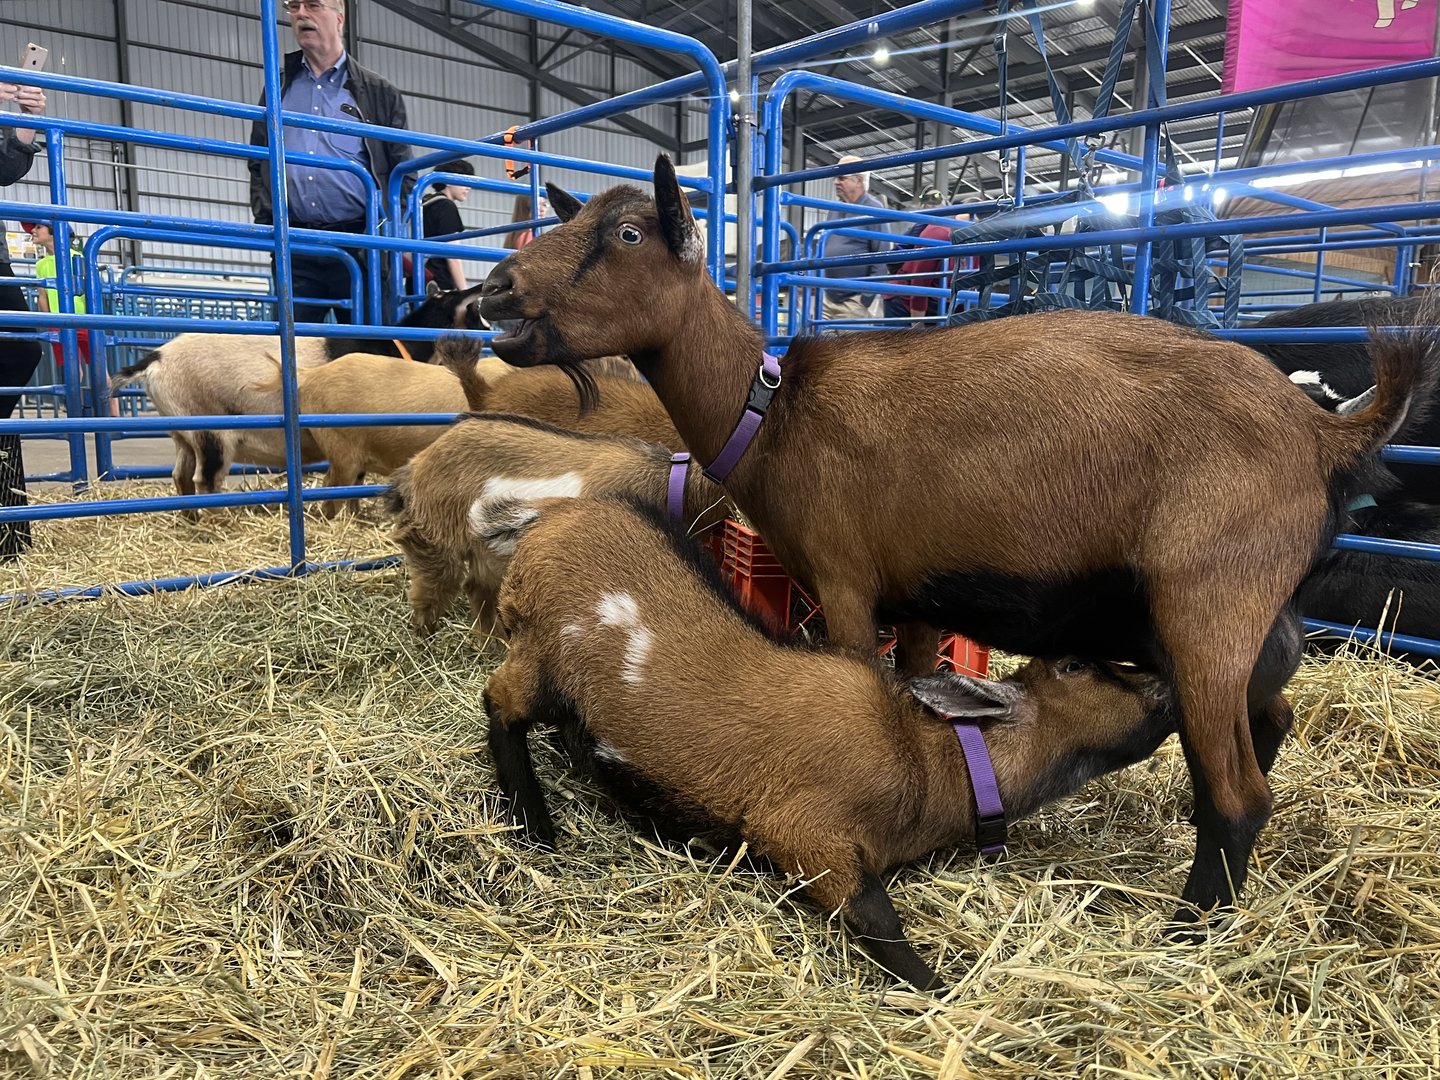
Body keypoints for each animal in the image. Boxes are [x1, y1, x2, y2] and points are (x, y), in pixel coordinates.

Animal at [112, 283, 487, 506]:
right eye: (471, 310)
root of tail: (156, 359)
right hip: (211, 429)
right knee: (206, 479)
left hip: (181, 430)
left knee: (180, 476)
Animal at [385, 412, 728, 635]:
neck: (672, 483)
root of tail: (415, 466)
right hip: (435, 538)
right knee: (433, 585)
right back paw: (424, 634)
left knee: (476, 587)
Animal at [476, 154, 1437, 925]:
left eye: (629, 232)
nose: (493, 290)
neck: (773, 416)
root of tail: (1328, 433)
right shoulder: (917, 598)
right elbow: (914, 682)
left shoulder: (845, 581)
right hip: (1258, 618)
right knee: (1270, 718)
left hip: (1209, 607)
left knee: (1239, 792)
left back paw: (1190, 933)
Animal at [476, 494, 1176, 990]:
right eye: (1075, 665)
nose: (1167, 688)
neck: (926, 760)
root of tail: (552, 517)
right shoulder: (803, 830)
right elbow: (874, 913)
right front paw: (937, 986)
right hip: (541, 650)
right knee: (500, 704)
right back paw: (535, 823)